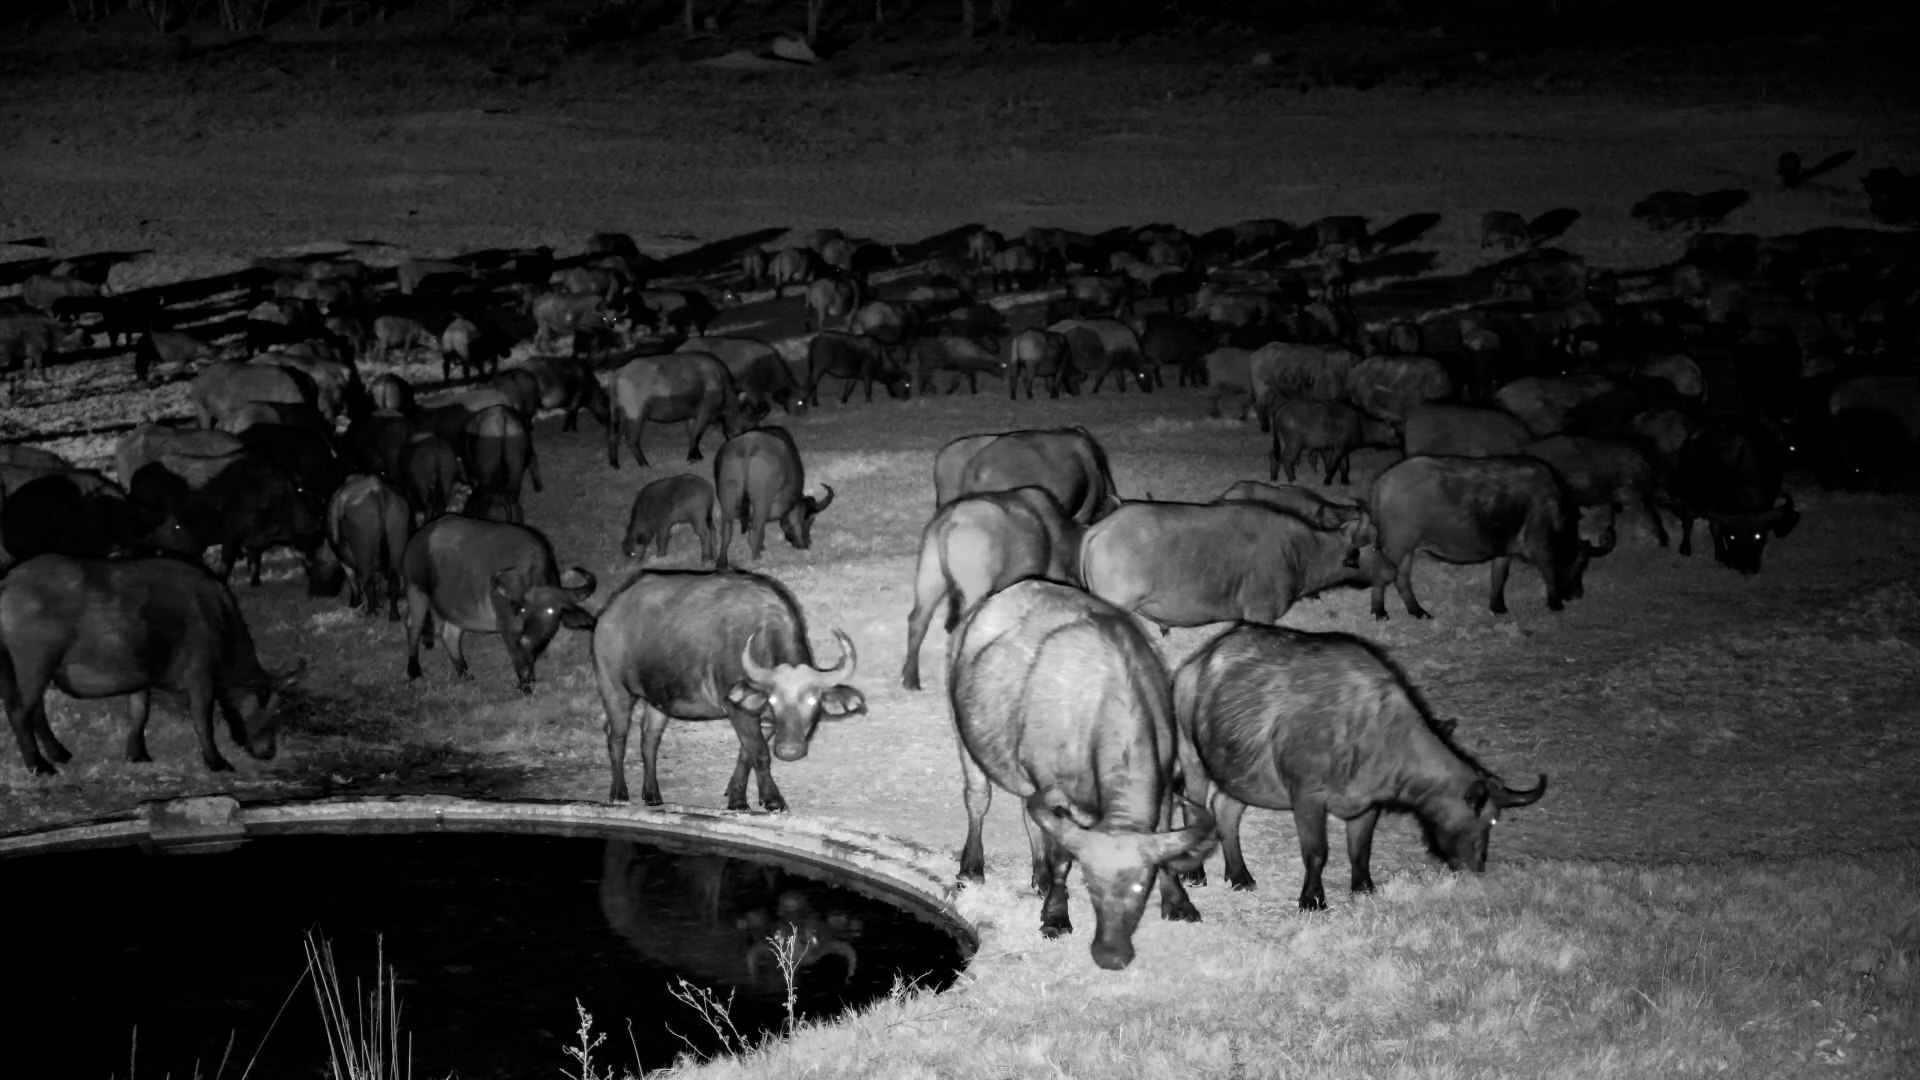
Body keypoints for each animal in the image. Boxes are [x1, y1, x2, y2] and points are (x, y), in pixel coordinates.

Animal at [591, 568, 865, 808]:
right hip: (615, 690)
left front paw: (737, 799)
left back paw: (652, 795)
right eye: (774, 701)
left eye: (812, 702)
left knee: (649, 740)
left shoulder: (761, 718)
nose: (789, 751)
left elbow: (746, 756)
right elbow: (760, 754)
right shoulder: (738, 710)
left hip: (658, 699)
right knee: (616, 738)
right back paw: (619, 794)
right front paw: (772, 800)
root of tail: (609, 613)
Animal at [1172, 624, 1545, 908]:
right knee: (1195, 808)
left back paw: (1239, 875)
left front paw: (1364, 888)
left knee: (1225, 809)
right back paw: (1195, 873)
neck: (1377, 734)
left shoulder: (1368, 803)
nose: (1477, 868)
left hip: (1243, 775)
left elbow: (1360, 850)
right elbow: (1317, 852)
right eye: (1489, 820)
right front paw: (1312, 900)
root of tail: (1193, 665)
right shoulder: (1307, 797)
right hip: (1193, 759)